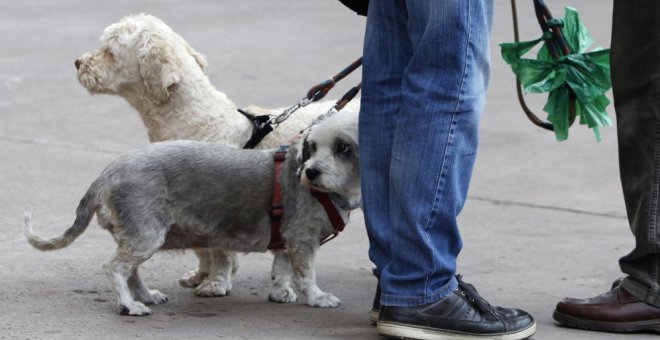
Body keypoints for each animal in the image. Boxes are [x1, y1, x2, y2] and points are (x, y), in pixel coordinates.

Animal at [23, 110, 360, 314]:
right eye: (312, 147)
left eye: (343, 148)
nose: (311, 172)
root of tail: (107, 173)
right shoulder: (302, 241)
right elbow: (306, 274)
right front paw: (317, 297)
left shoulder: (288, 241)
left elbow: (281, 269)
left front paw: (280, 292)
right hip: (146, 234)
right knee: (115, 268)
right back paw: (130, 305)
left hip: (137, 236)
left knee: (131, 270)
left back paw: (145, 295)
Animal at [76, 13, 360, 298]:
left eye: (110, 51)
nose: (78, 62)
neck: (200, 121)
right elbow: (202, 249)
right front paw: (200, 275)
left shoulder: (216, 209)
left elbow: (220, 252)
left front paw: (216, 282)